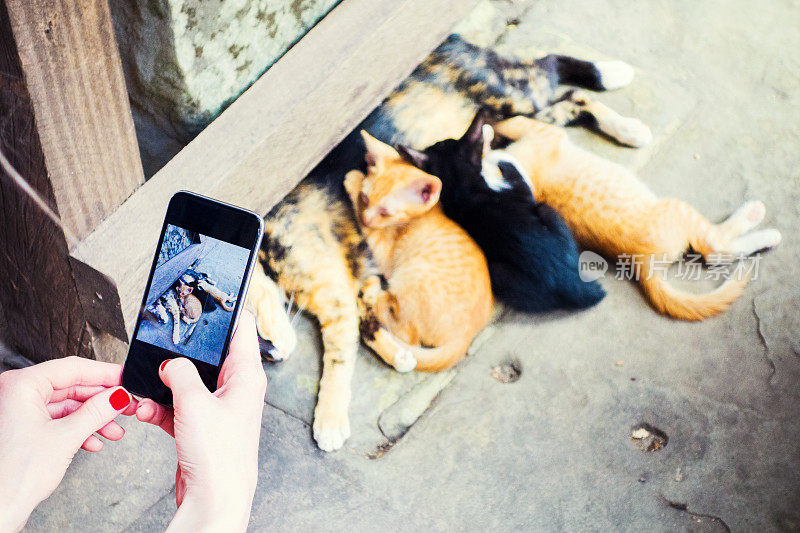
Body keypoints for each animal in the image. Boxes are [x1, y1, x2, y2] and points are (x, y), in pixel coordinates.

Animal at [340, 131, 490, 372]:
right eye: (366, 199)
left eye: (385, 212)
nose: (366, 217)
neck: (428, 212)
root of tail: (466, 337)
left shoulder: (384, 252)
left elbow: (370, 234)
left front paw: (353, 179)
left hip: (410, 277)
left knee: (409, 336)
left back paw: (377, 296)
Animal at [396, 109, 604, 314]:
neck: (461, 184)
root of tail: (574, 285)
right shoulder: (519, 186)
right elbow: (508, 163)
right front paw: (491, 150)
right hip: (516, 249)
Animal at [488, 114, 780, 318]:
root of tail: (641, 262)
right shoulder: (541, 133)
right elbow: (514, 120)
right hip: (678, 209)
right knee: (715, 249)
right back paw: (760, 222)